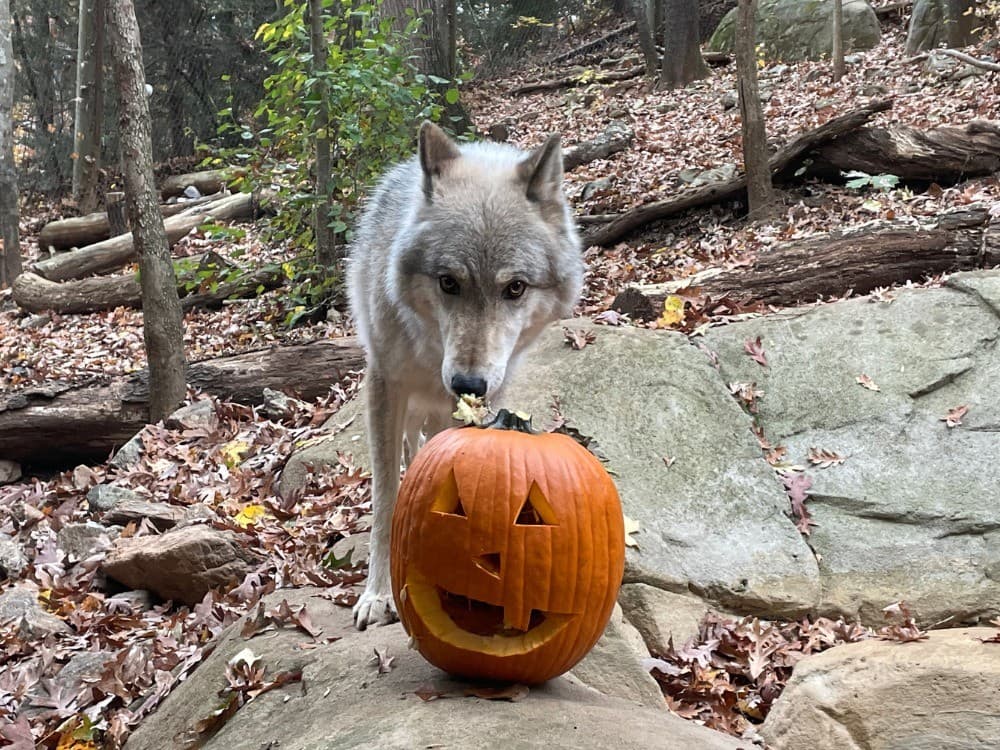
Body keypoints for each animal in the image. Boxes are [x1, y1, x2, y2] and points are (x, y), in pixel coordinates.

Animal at [346, 121, 583, 629]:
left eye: (515, 288)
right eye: (448, 282)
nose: (467, 384)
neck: (433, 350)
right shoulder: (385, 384)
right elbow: (385, 496)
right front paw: (377, 593)